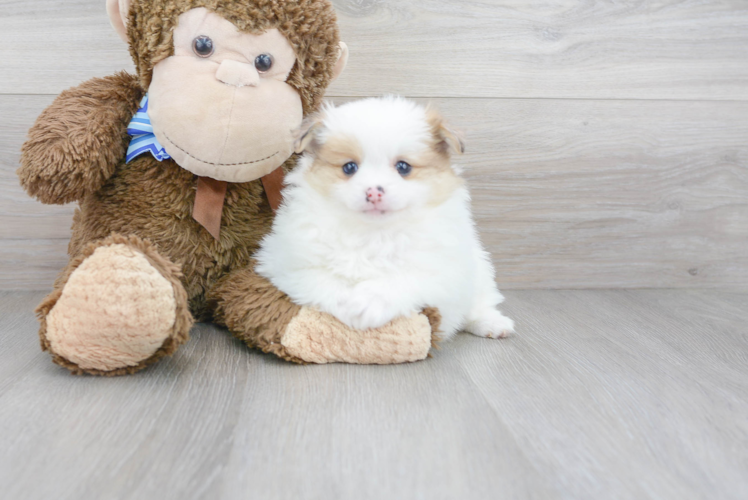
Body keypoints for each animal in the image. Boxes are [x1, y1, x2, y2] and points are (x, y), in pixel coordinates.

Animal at [256, 97, 516, 340]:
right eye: (349, 167)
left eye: (403, 167)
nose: (374, 192)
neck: (373, 232)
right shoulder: (288, 264)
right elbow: (324, 279)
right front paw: (347, 304)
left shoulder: (440, 269)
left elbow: (402, 279)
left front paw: (368, 304)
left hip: (479, 271)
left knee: (477, 305)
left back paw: (492, 323)